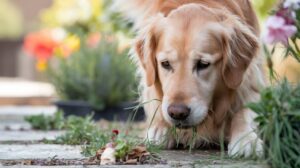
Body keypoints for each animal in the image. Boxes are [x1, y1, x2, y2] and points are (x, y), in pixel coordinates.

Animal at [116, 0, 266, 158]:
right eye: (165, 63)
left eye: (203, 64)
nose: (177, 113)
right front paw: (159, 128)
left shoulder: (251, 81)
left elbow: (244, 111)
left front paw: (246, 139)